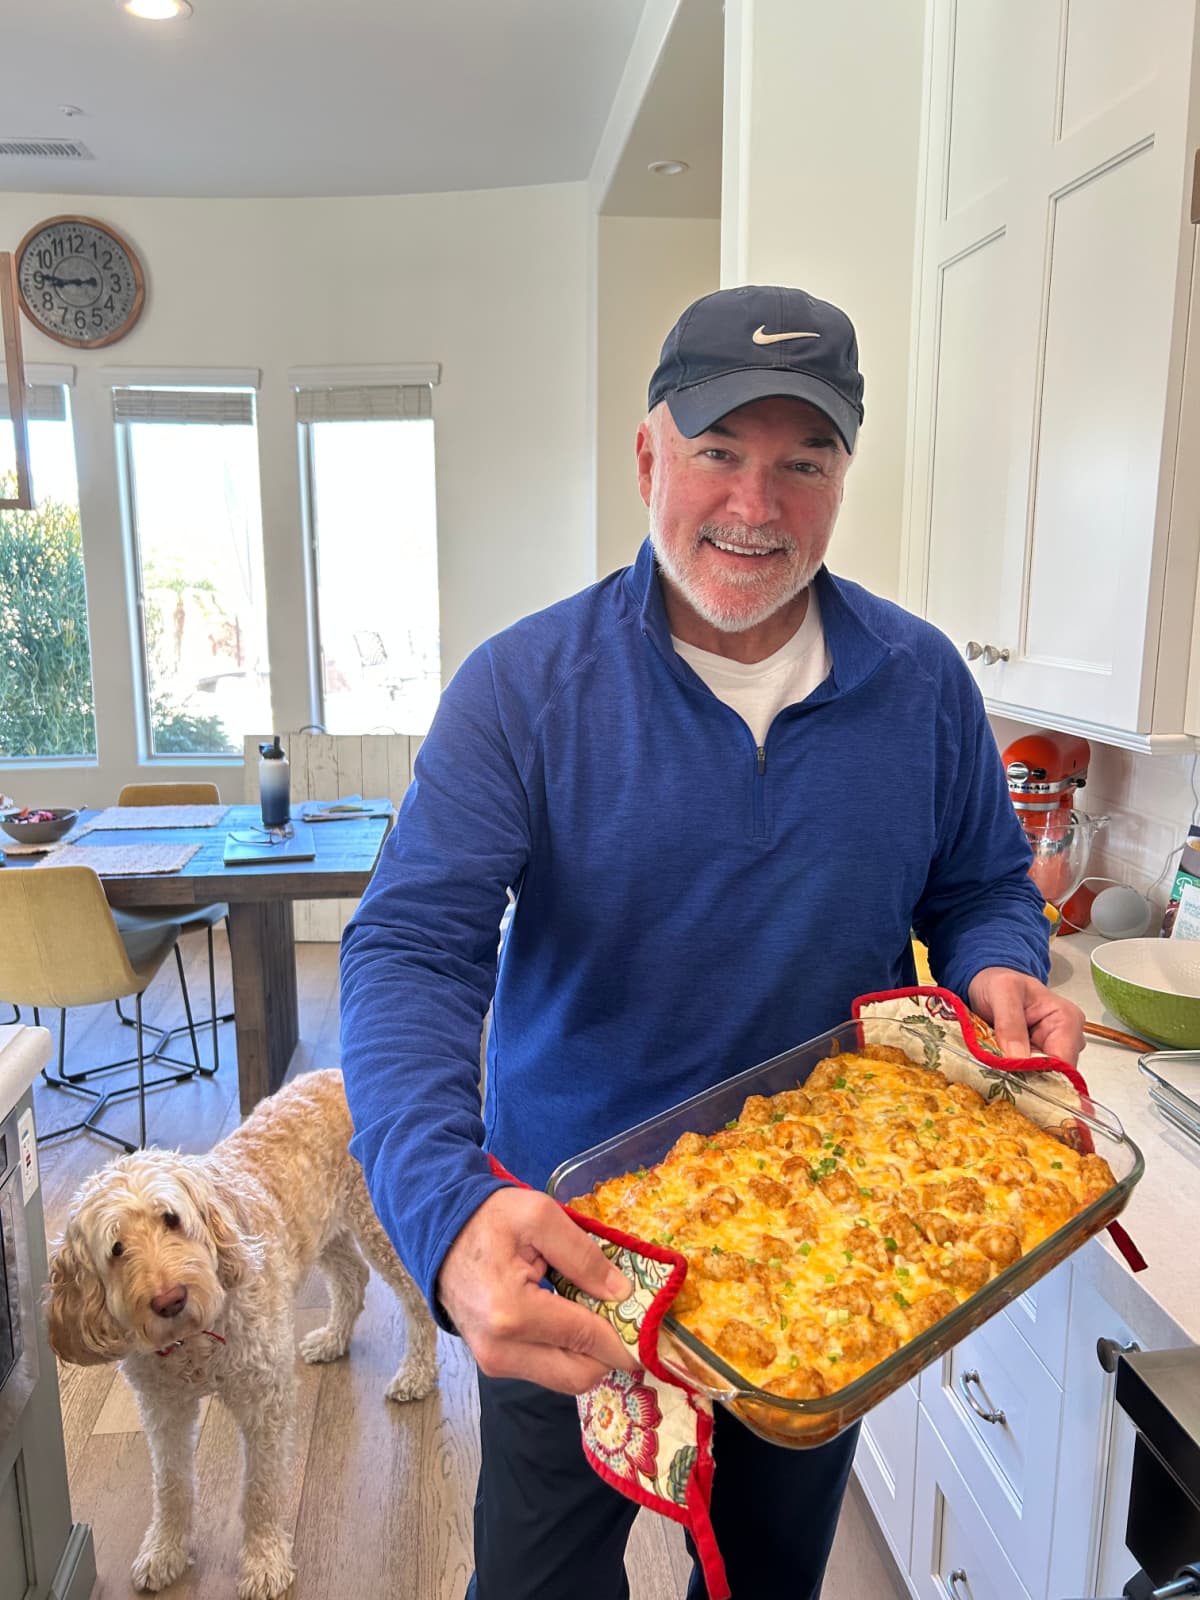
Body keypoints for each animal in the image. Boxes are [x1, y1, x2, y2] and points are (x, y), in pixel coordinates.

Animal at [49, 1068, 441, 1593]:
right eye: (116, 1248)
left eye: (171, 1219)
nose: (170, 1299)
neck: (195, 1343)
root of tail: (337, 1070)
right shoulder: (162, 1410)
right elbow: (171, 1484)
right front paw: (165, 1549)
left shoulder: (264, 1403)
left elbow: (261, 1489)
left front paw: (264, 1560)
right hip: (322, 1229)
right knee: (351, 1277)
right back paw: (332, 1338)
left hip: (380, 1225)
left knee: (417, 1296)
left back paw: (416, 1372)